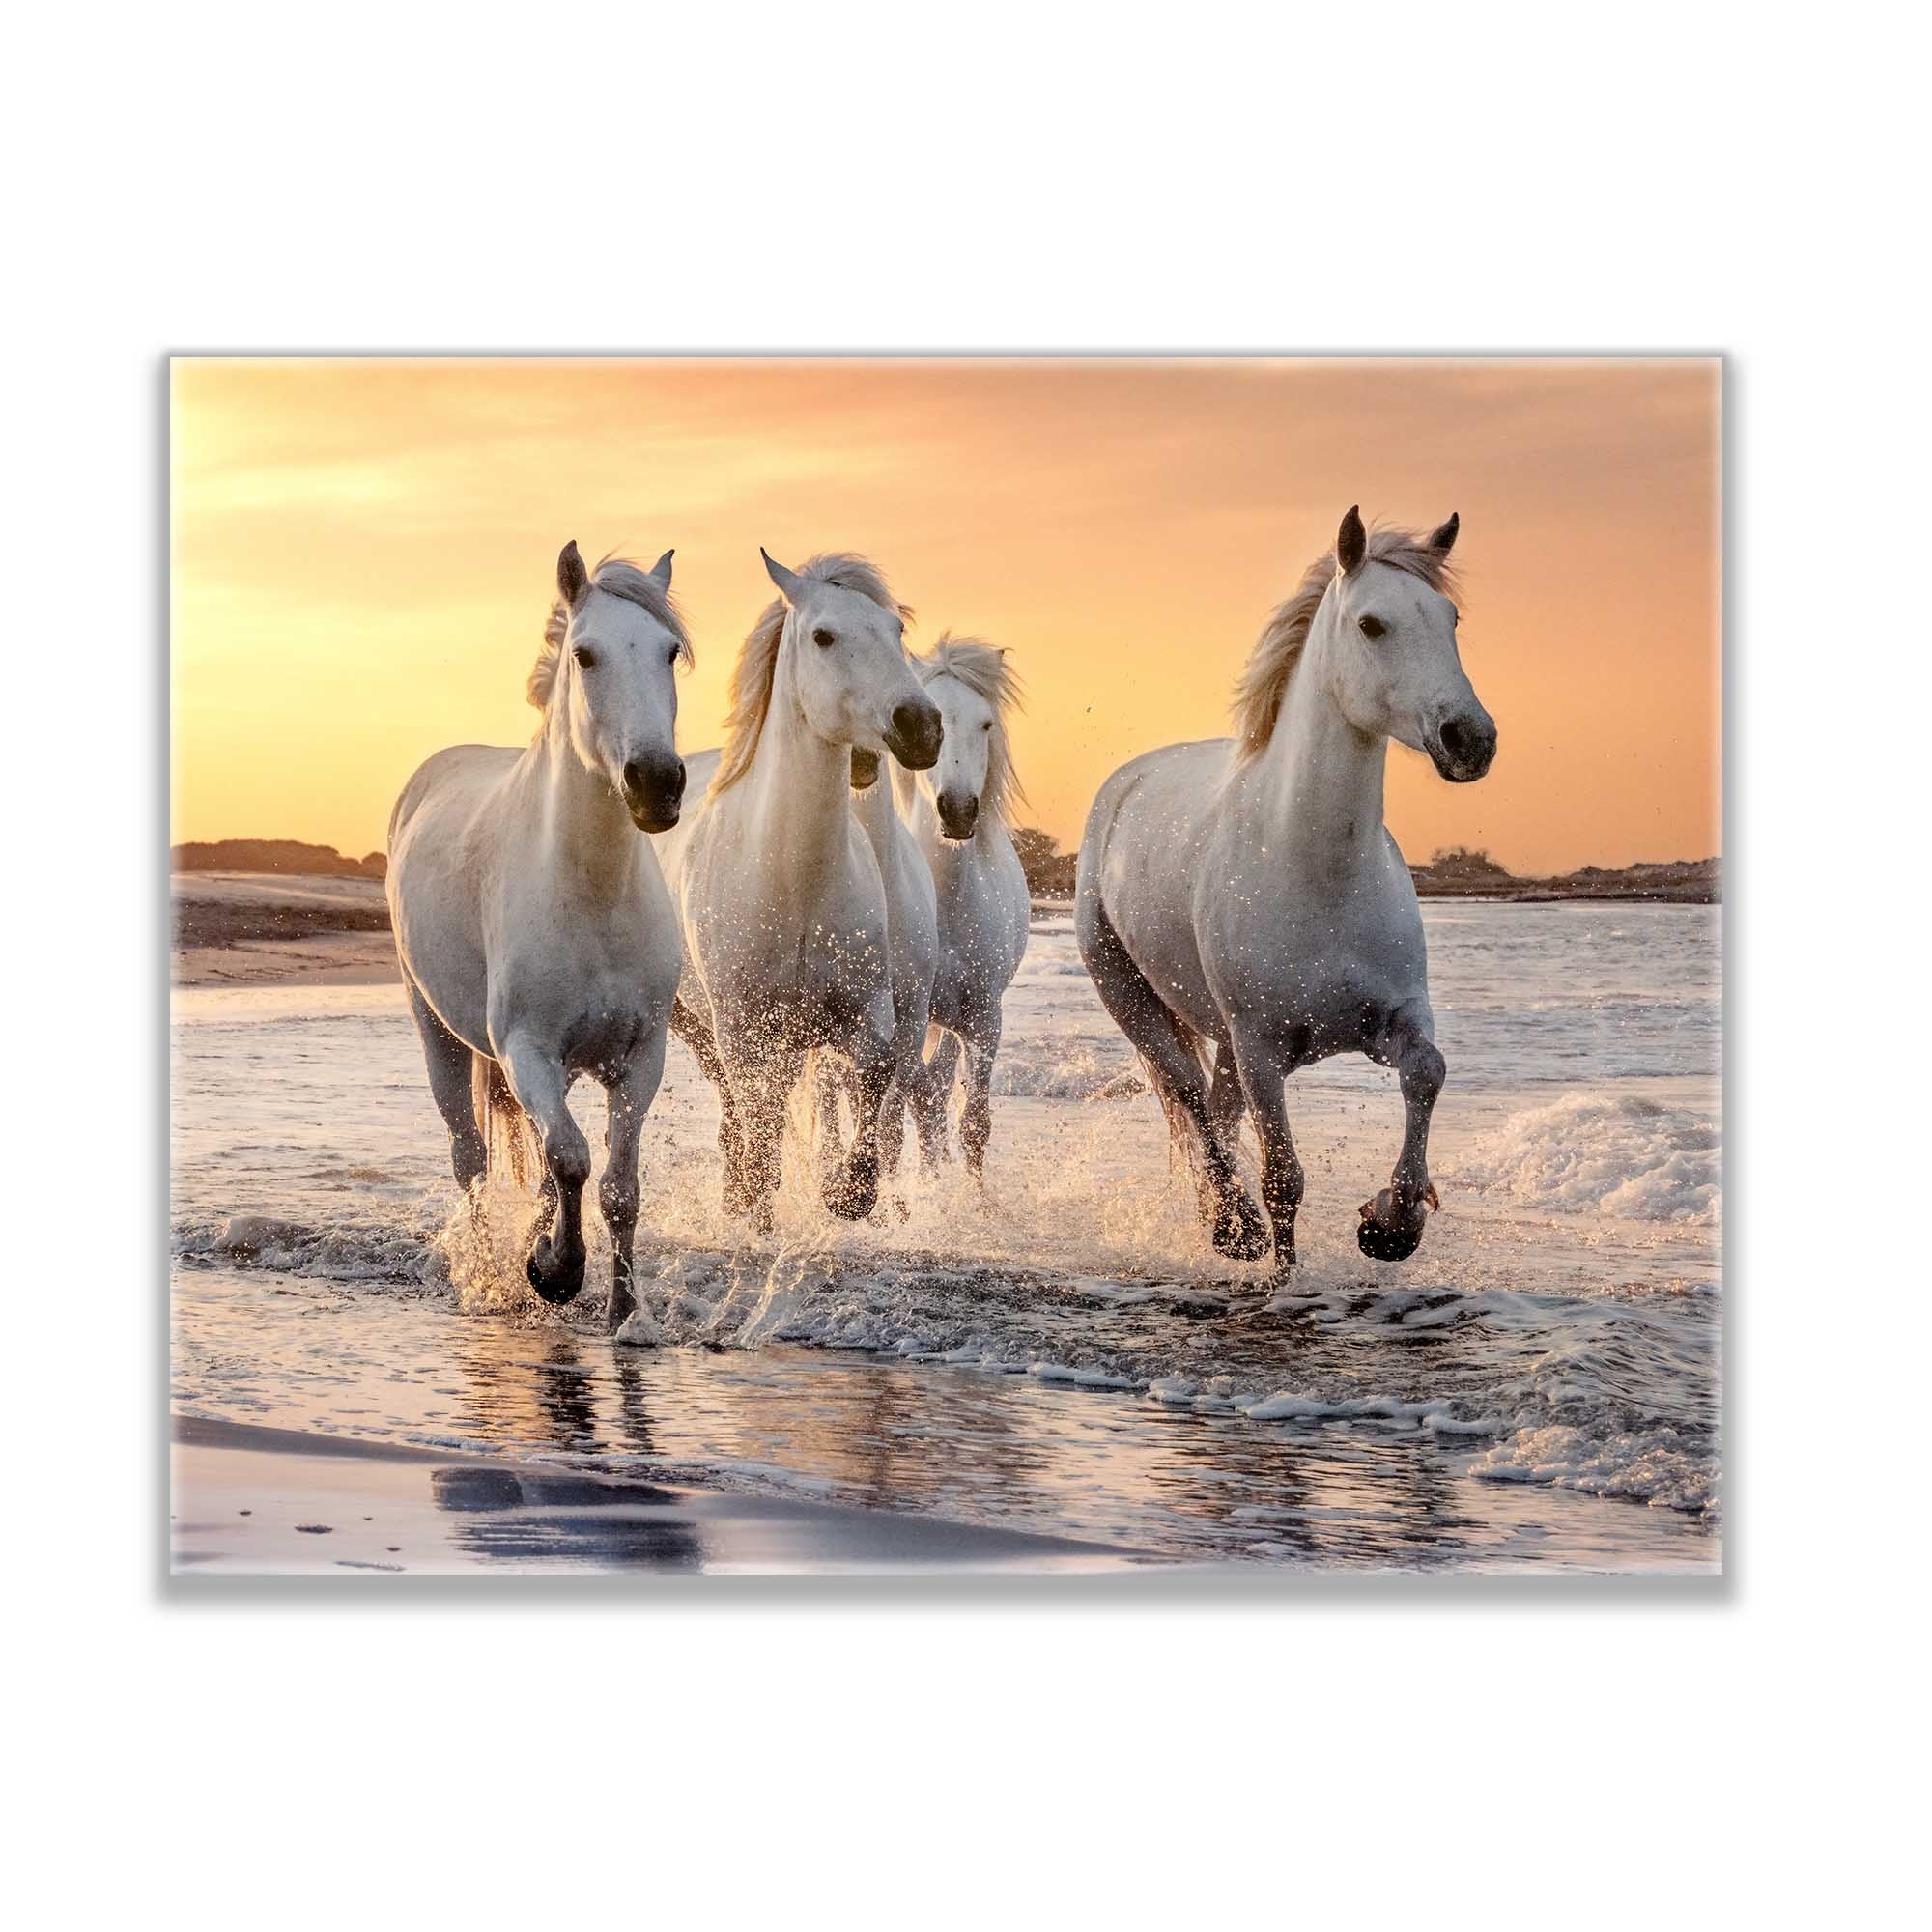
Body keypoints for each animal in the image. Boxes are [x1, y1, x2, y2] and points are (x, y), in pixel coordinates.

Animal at [386, 542, 690, 1332]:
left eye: (669, 652)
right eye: (585, 654)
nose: (657, 783)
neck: (592, 893)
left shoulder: (640, 1057)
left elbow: (616, 1185)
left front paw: (624, 1313)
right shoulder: (526, 1048)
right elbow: (574, 1159)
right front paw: (555, 1271)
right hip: (438, 1031)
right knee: (471, 1159)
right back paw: (493, 1272)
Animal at [651, 551, 942, 1231]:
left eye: (896, 630)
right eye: (823, 636)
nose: (921, 726)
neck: (796, 883)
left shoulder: (867, 1013)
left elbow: (875, 1079)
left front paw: (848, 1193)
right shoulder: (742, 1028)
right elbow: (760, 1121)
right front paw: (760, 1209)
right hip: (700, 1026)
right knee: (740, 1112)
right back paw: (739, 1201)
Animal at [891, 634, 1032, 1180]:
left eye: (986, 724)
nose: (957, 811)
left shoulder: (984, 1017)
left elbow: (972, 1123)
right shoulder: (902, 1019)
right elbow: (916, 1107)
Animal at [1075, 507, 1497, 1281]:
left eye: (1449, 617)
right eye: (1371, 624)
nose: (1469, 738)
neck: (1316, 872)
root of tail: (1125, 785)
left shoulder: (1392, 1018)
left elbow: (1427, 1072)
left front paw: (1392, 1223)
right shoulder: (1263, 1047)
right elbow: (1283, 1179)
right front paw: (1282, 1273)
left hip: (1226, 1040)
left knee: (1215, 1110)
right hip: (1138, 1003)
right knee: (1191, 1101)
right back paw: (1232, 1226)